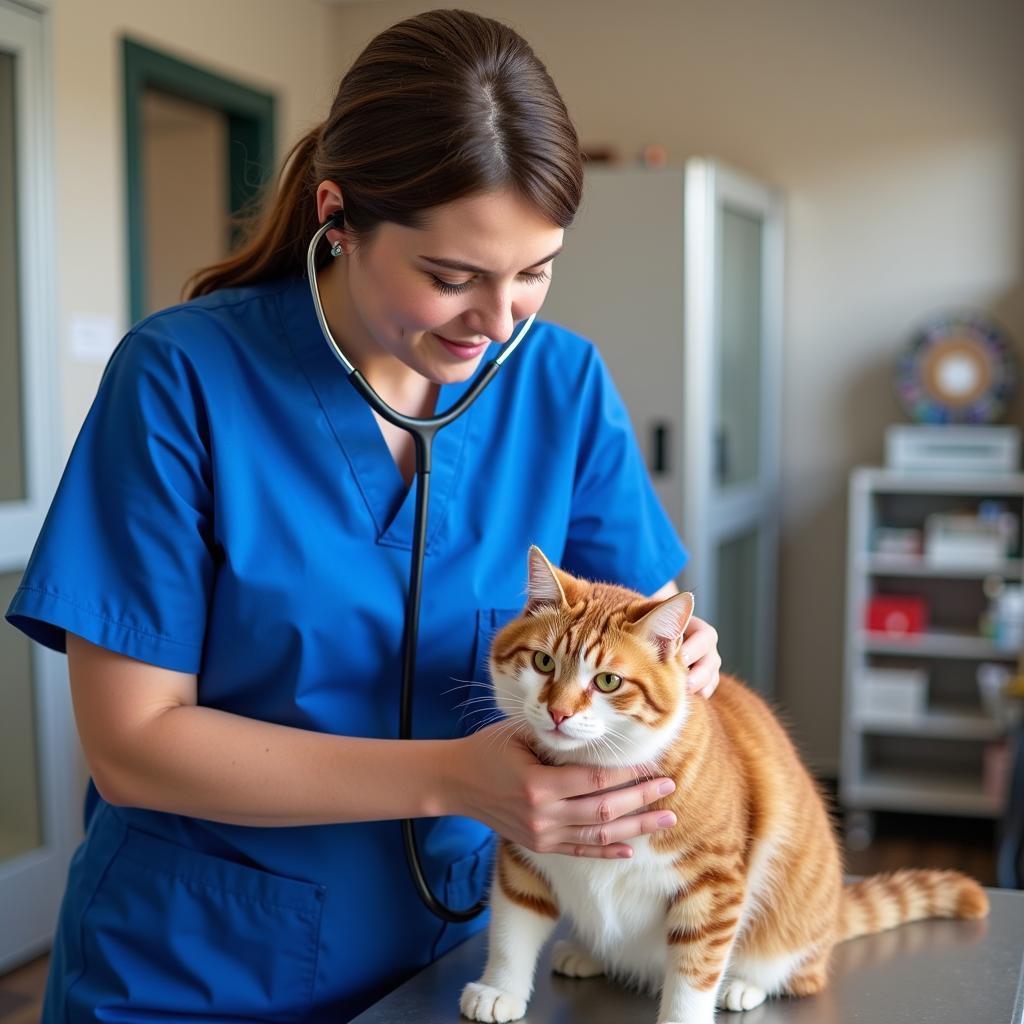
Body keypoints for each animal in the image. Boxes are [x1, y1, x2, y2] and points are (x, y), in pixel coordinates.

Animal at [460, 548, 987, 1024]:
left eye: (608, 681)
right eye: (544, 663)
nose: (558, 712)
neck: (596, 766)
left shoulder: (713, 884)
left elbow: (695, 970)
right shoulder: (524, 850)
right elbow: (511, 928)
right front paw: (500, 989)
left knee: (797, 972)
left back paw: (745, 984)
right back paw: (588, 954)